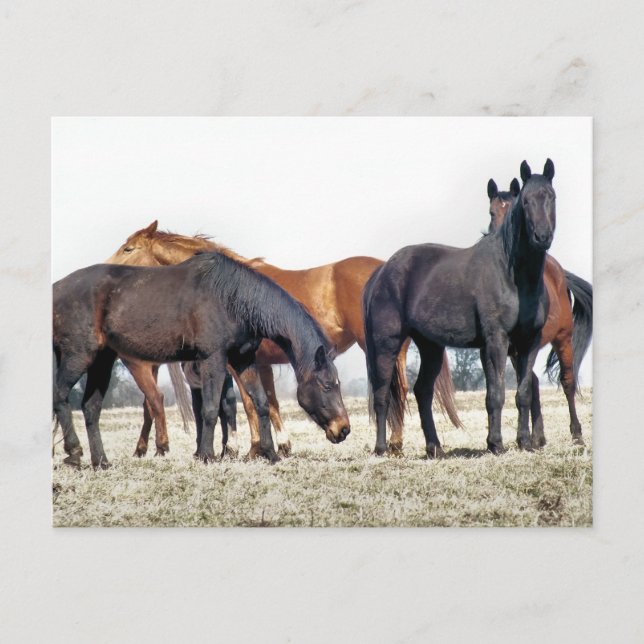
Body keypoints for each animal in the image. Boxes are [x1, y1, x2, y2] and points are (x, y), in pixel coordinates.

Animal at [52, 251, 350, 468]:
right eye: (327, 385)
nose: (344, 430)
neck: (232, 298)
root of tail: (57, 289)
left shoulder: (243, 360)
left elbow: (261, 403)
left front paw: (270, 453)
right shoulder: (213, 359)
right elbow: (210, 409)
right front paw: (207, 455)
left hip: (102, 361)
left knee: (91, 408)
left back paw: (100, 461)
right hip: (78, 356)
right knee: (60, 396)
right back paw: (74, 452)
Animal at [106, 223, 461, 457]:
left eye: (128, 248)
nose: (107, 268)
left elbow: (247, 404)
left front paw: (253, 449)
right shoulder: (259, 363)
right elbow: (267, 403)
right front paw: (278, 445)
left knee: (395, 389)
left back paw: (393, 444)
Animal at [363, 159, 557, 457]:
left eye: (551, 197)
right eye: (525, 201)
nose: (542, 236)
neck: (512, 274)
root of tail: (382, 272)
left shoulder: (529, 343)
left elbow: (523, 392)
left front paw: (524, 442)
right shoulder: (496, 341)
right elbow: (496, 393)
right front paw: (496, 444)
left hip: (430, 346)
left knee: (422, 391)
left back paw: (435, 448)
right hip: (387, 343)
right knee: (383, 394)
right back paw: (382, 448)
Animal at [487, 178, 592, 446]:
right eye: (492, 212)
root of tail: (560, 273)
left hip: (563, 339)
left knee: (567, 381)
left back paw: (576, 433)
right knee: (533, 382)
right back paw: (538, 436)